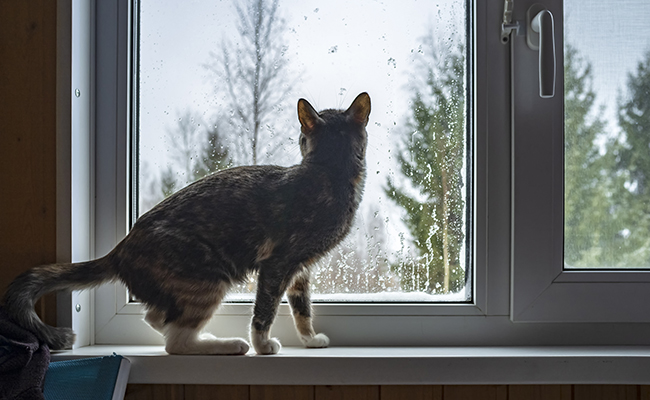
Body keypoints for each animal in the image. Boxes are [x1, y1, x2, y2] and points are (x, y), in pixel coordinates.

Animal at [2, 92, 370, 354]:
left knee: (158, 318)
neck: (331, 174)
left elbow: (302, 309)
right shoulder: (278, 263)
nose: (299, 138)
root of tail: (120, 248)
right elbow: (265, 309)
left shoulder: (300, 269)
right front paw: (263, 345)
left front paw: (310, 340)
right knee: (175, 342)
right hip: (208, 278)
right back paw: (228, 345)